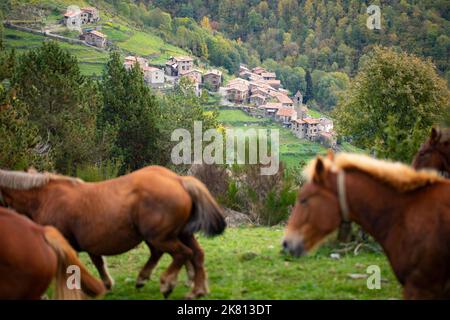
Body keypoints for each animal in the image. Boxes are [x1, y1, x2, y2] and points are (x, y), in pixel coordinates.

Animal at [0, 166, 225, 298]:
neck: (45, 198)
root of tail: (178, 180)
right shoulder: (90, 244)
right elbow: (98, 263)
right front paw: (107, 284)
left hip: (161, 237)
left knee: (182, 254)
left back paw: (167, 283)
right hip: (180, 234)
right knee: (196, 255)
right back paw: (196, 289)